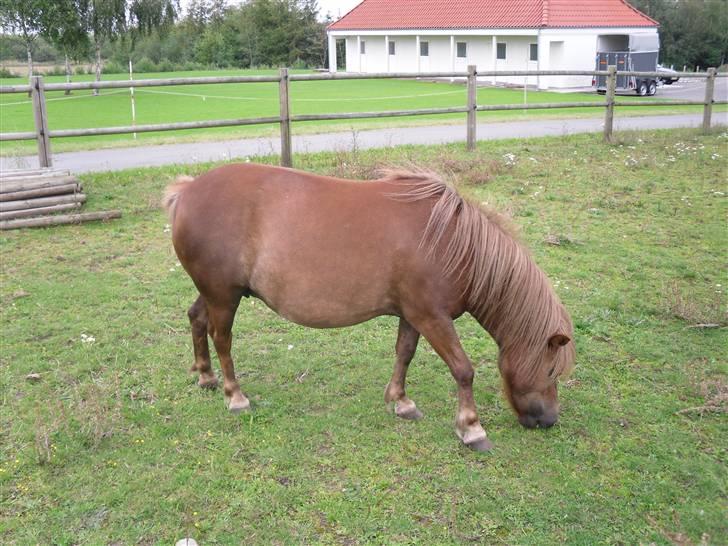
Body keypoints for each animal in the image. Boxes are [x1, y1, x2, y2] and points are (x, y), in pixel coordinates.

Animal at [163, 163, 575, 452]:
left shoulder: (413, 316)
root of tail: (187, 190)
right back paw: (235, 395)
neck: (453, 242)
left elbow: (404, 354)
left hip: (217, 293)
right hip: (224, 296)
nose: (551, 420)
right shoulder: (432, 317)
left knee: (196, 319)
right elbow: (463, 370)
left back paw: (206, 377)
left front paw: (401, 402)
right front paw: (471, 428)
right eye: (550, 369)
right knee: (222, 338)